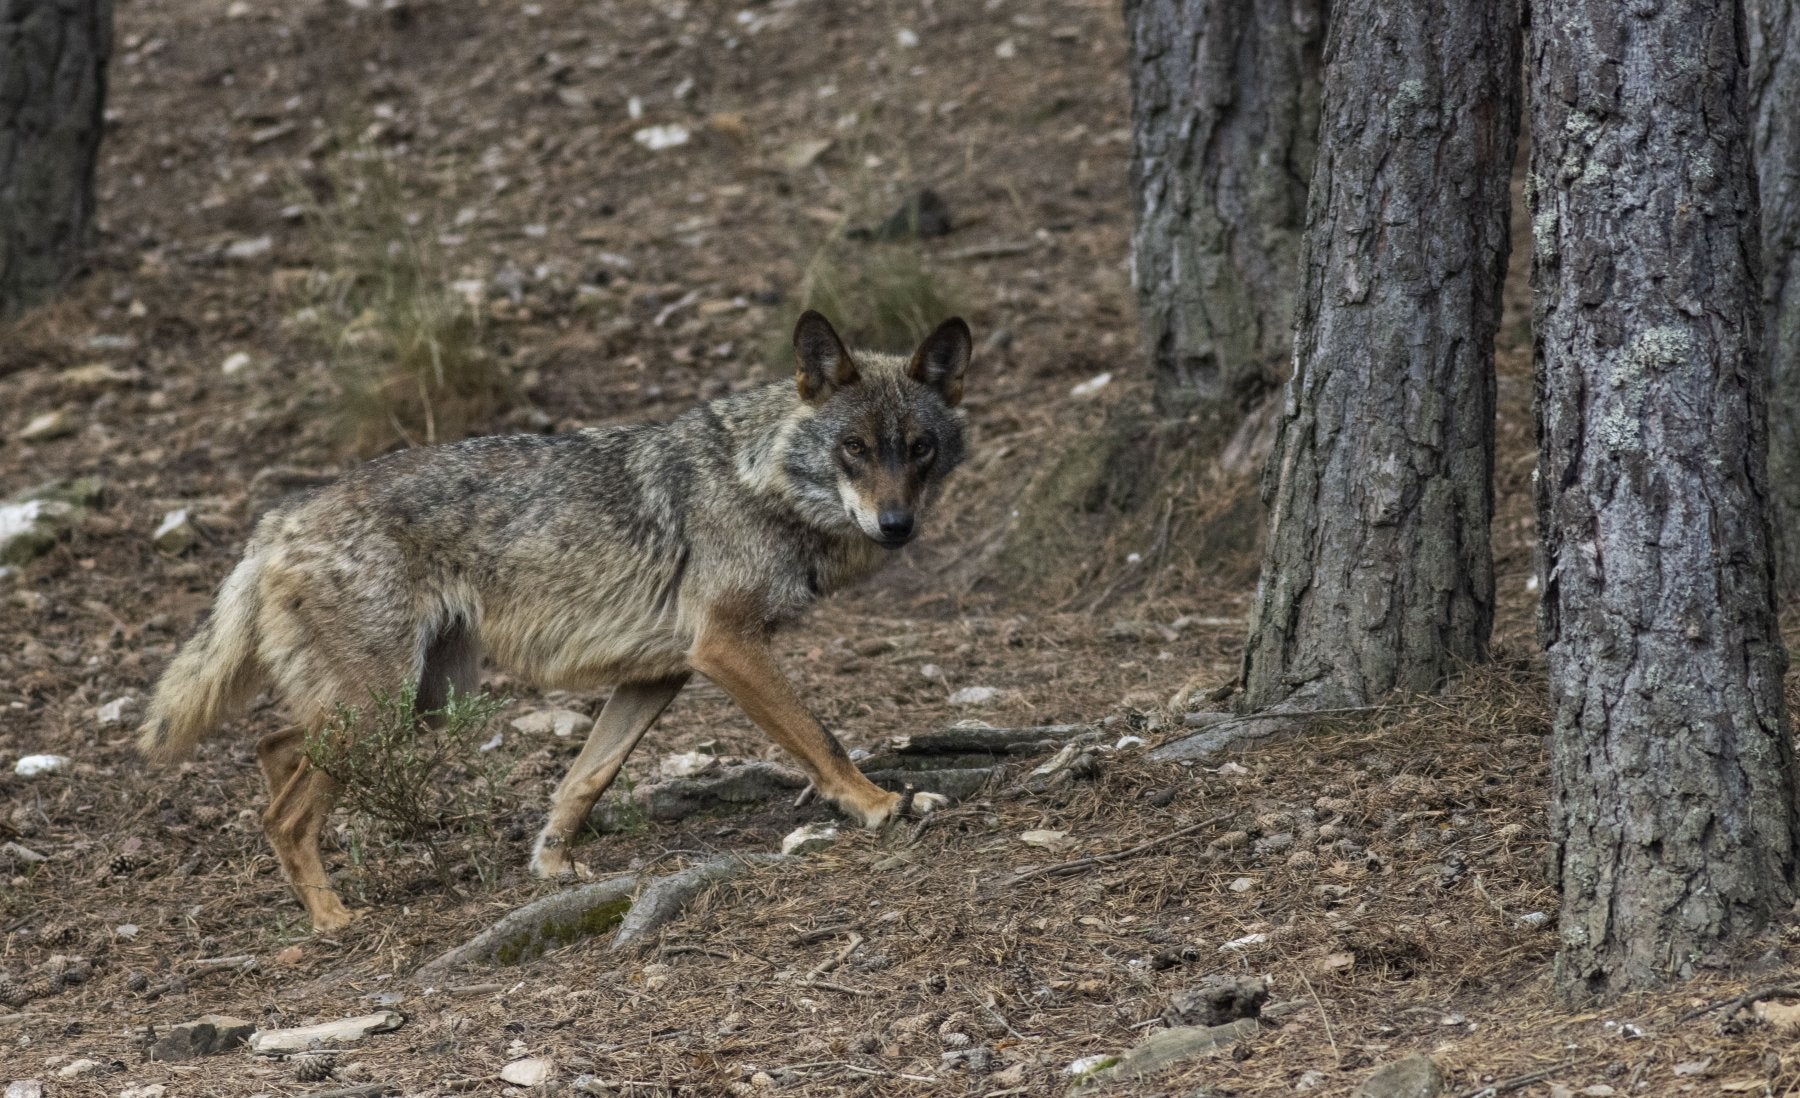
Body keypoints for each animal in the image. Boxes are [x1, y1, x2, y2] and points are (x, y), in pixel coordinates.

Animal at [135, 311, 979, 928]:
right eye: (854, 447)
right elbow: (821, 739)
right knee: (282, 810)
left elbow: (585, 778)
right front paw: (880, 804)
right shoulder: (727, 649)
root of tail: (277, 520)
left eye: (919, 449)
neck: (758, 478)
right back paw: (333, 920)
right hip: (385, 711)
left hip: (418, 705)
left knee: (274, 747)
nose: (896, 525)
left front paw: (550, 866)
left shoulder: (663, 672)